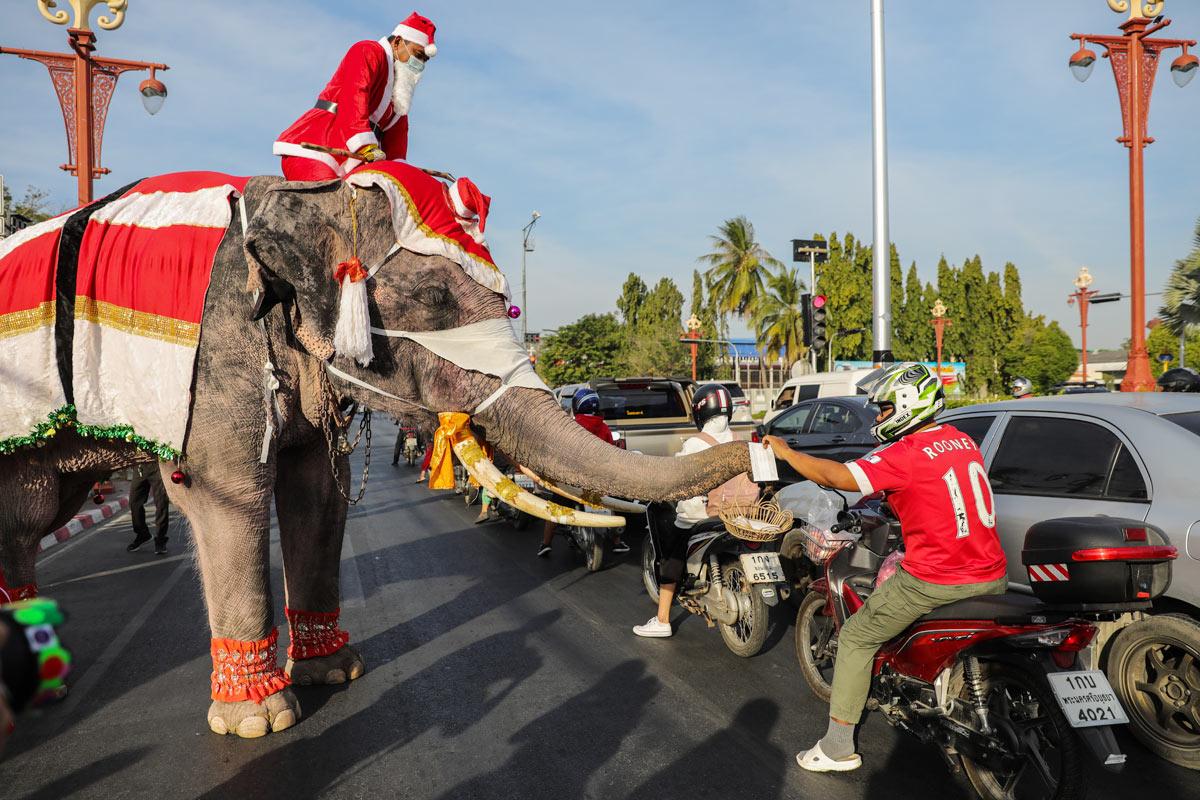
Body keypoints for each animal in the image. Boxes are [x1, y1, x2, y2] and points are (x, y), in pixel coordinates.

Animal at [0, 175, 748, 738]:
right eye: (436, 299)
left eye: (508, 304)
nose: (755, 446)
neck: (300, 194)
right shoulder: (219, 350)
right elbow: (227, 493)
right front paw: (259, 721)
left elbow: (317, 491)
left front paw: (336, 671)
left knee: (28, 518)